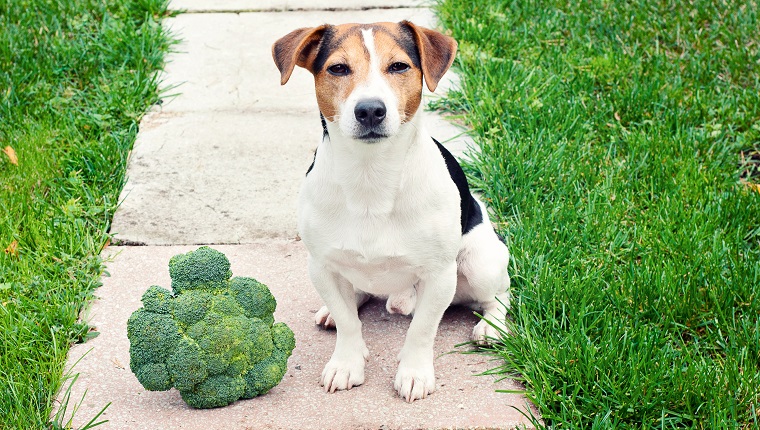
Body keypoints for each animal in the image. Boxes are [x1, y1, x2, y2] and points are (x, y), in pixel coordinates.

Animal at [274, 21, 510, 404]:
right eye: (338, 69)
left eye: (399, 66)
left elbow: (422, 330)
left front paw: (414, 373)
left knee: (502, 296)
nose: (370, 110)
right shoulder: (321, 265)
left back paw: (492, 327)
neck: (371, 176)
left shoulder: (439, 274)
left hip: (480, 264)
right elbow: (348, 323)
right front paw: (347, 363)